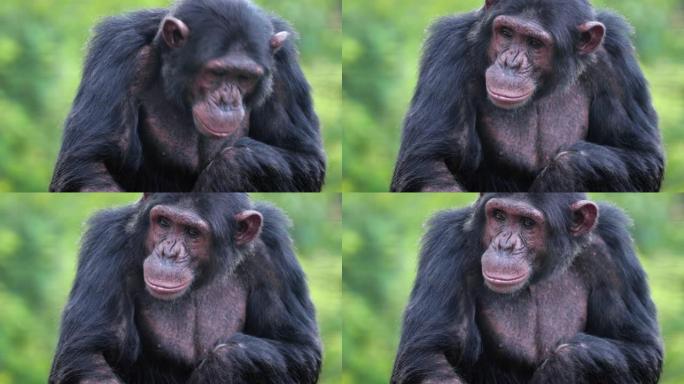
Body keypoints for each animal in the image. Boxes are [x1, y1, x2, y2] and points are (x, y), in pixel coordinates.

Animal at [48, 0, 326, 192]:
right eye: (216, 72)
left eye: (245, 77)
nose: (227, 101)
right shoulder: (118, 51)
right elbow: (90, 165)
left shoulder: (283, 65)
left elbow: (305, 158)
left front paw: (234, 165)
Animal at [49, 195, 322, 384]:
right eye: (163, 223)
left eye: (192, 232)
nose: (168, 253)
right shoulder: (109, 243)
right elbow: (88, 355)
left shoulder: (273, 253)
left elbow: (300, 348)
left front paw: (223, 363)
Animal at [390, 0, 664, 192]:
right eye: (506, 33)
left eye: (534, 43)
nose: (510, 63)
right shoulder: (449, 49)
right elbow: (430, 164)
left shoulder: (616, 60)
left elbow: (643, 156)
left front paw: (563, 172)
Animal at [392, 194, 664, 384]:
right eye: (499, 216)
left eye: (527, 223)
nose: (505, 245)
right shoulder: (448, 245)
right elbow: (429, 354)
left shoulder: (612, 250)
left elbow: (641, 347)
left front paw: (565, 363)